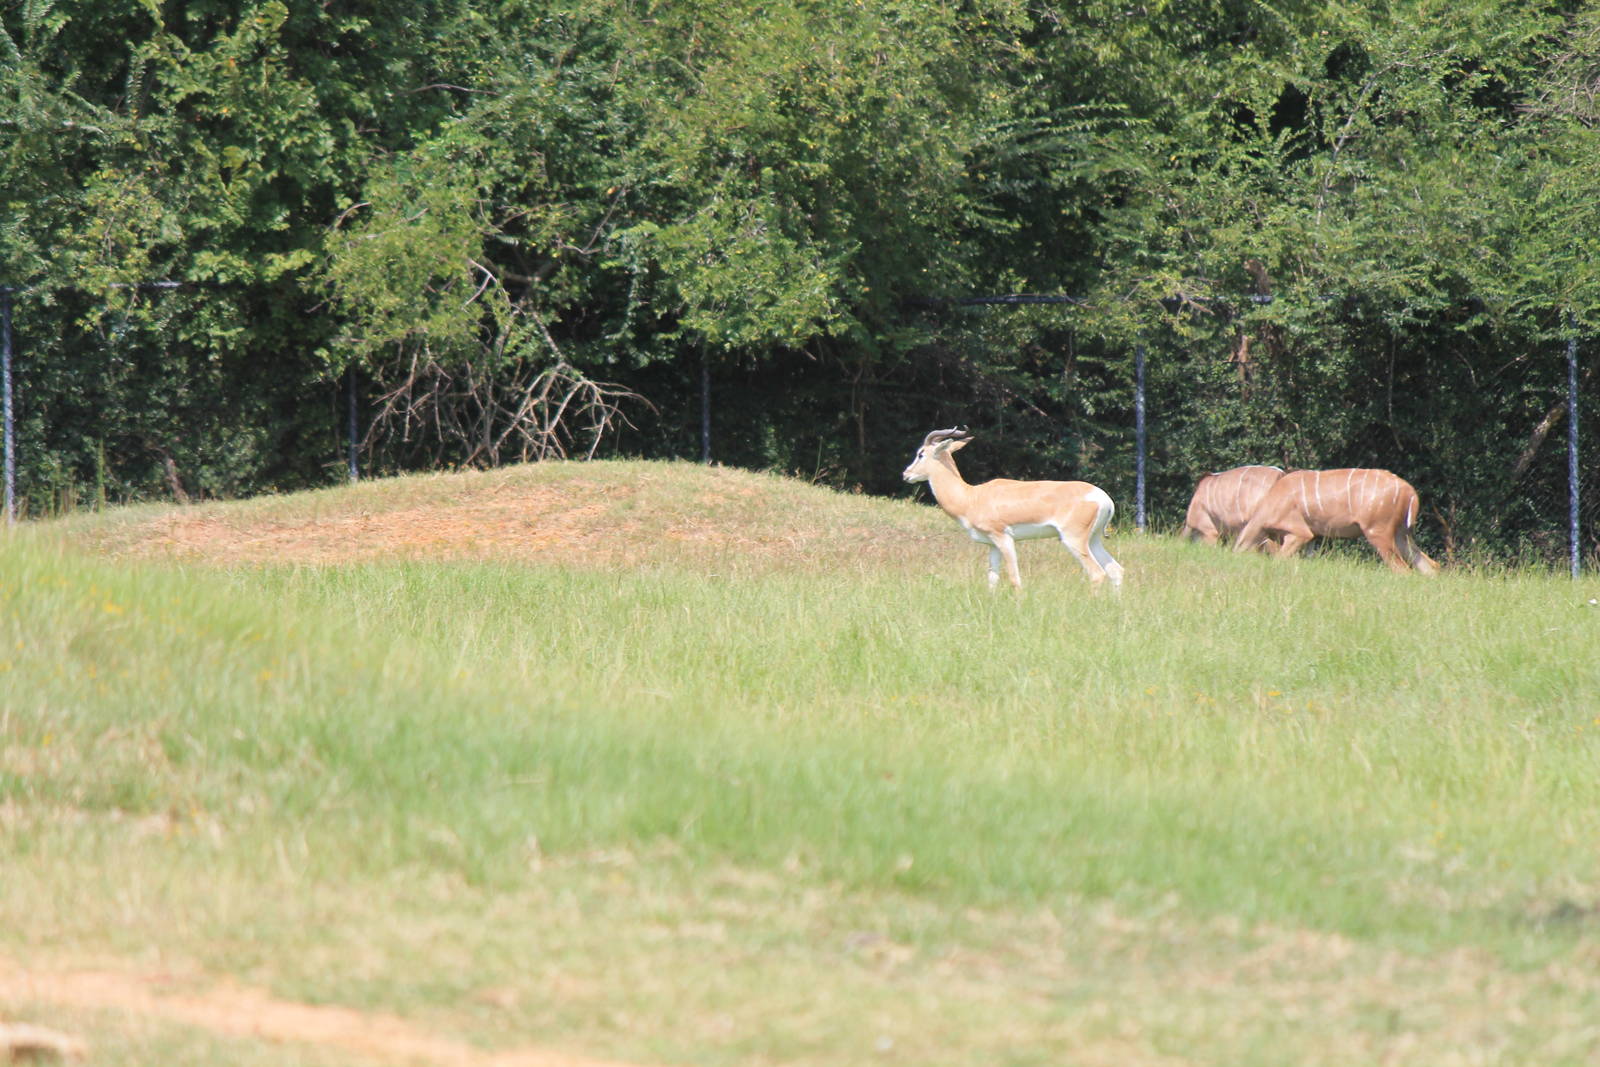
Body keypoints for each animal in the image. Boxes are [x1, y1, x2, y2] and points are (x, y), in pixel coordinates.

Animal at [901, 427, 1123, 590]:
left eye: (921, 454)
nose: (906, 474)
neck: (971, 498)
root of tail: (1104, 498)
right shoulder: (991, 544)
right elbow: (992, 580)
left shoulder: (1004, 538)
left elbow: (1015, 579)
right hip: (1093, 539)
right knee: (1115, 571)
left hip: (1073, 539)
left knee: (1097, 573)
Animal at [1233, 468, 1439, 574]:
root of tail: (1410, 493)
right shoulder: (1313, 537)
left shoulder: (1300, 533)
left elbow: (1279, 559)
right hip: (1402, 534)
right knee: (1429, 565)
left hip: (1378, 531)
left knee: (1402, 568)